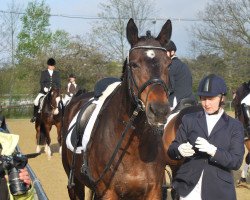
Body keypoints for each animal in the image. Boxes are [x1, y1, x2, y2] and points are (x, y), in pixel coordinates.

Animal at [61, 18, 173, 199]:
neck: (133, 144)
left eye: (168, 65)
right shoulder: (108, 193)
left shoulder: (153, 192)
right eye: (134, 64)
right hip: (75, 185)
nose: (159, 111)